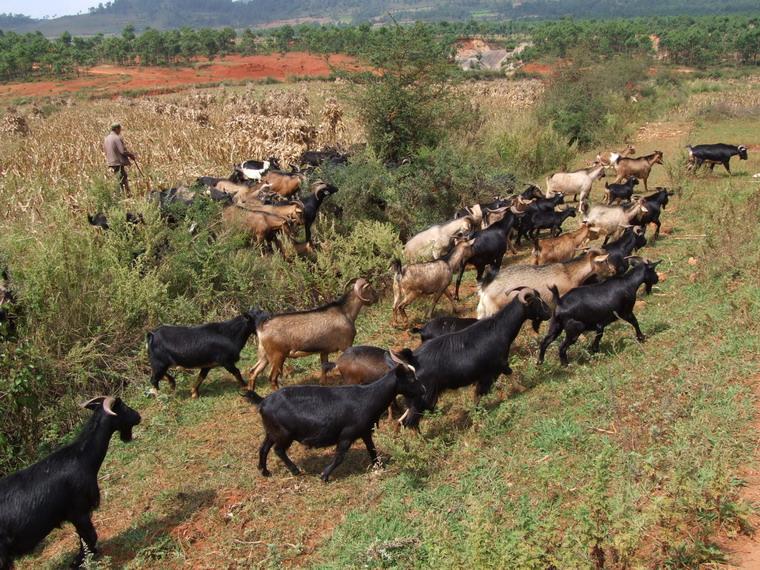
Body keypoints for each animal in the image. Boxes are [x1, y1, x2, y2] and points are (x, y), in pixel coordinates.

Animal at [0, 394, 141, 568]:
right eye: (124, 408)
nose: (138, 417)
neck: (82, 457)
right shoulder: (79, 510)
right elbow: (89, 537)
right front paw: (79, 561)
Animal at [248, 278, 378, 390]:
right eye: (370, 288)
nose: (377, 298)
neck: (345, 312)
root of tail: (261, 328)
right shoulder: (346, 345)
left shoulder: (324, 350)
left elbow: (324, 368)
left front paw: (323, 384)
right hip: (277, 356)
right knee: (272, 377)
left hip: (264, 355)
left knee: (253, 371)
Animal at [252, 350, 424, 480]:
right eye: (410, 378)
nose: (423, 389)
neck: (369, 396)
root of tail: (264, 401)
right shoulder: (347, 434)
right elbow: (340, 456)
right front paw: (324, 475)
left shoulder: (365, 431)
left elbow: (372, 449)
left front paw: (378, 465)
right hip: (284, 433)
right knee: (278, 450)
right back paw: (294, 470)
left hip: (272, 431)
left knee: (264, 448)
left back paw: (265, 471)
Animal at [400, 288, 548, 426]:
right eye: (536, 302)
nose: (549, 312)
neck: (499, 328)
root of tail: (413, 360)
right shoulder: (496, 365)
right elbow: (501, 377)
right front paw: (522, 388)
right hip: (424, 395)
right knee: (411, 419)